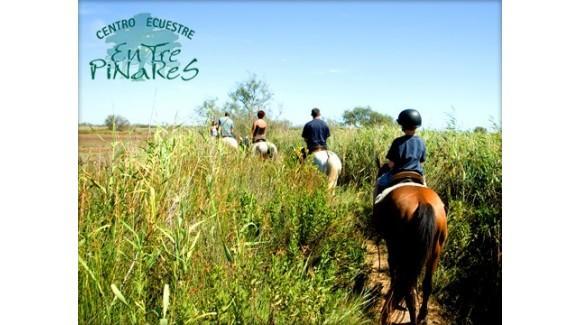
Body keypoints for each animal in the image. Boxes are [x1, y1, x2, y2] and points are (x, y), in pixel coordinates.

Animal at [372, 160, 448, 324]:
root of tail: (423, 202)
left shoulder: (393, 245)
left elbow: (392, 266)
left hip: (403, 247)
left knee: (409, 285)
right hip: (435, 251)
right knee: (426, 284)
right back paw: (422, 316)